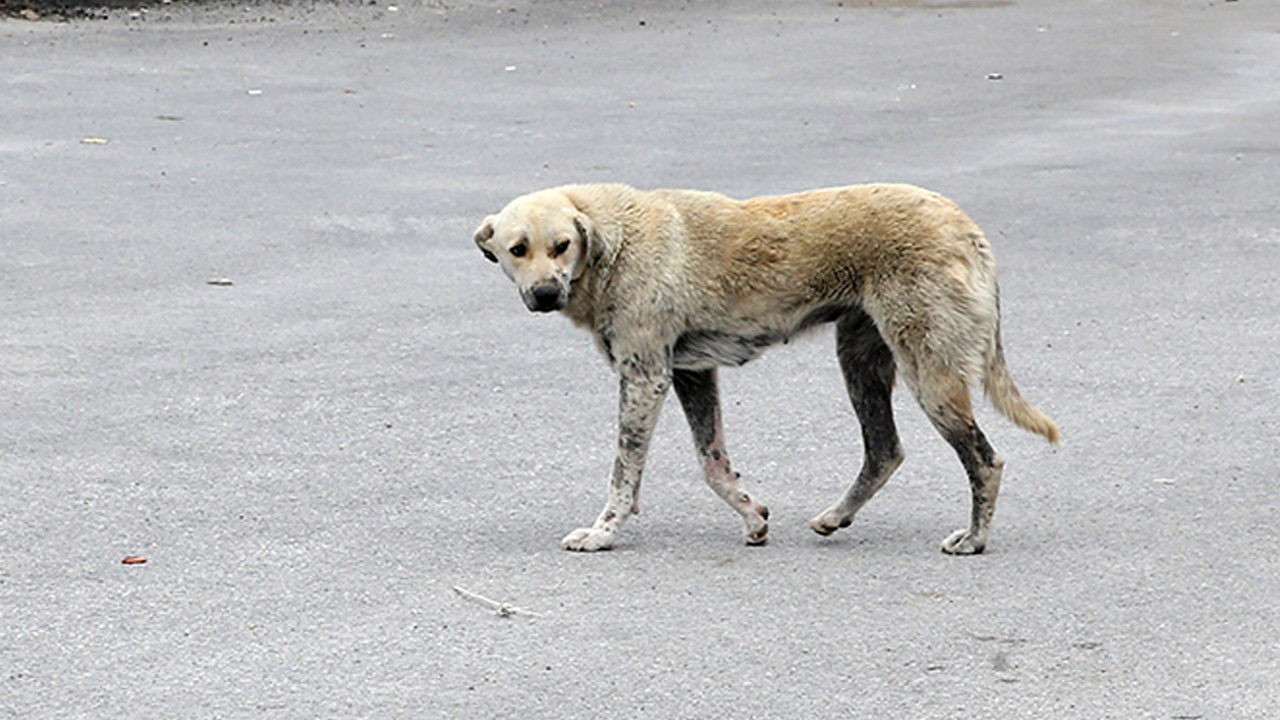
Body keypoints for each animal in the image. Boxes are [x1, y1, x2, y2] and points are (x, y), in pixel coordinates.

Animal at [476, 181, 1054, 550]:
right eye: (517, 249)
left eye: (562, 245)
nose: (545, 294)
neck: (613, 242)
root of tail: (965, 225)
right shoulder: (690, 374)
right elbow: (712, 464)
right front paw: (752, 516)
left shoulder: (645, 379)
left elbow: (624, 473)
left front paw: (603, 533)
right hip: (860, 362)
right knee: (885, 450)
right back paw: (837, 517)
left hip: (929, 374)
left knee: (984, 460)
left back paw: (975, 538)